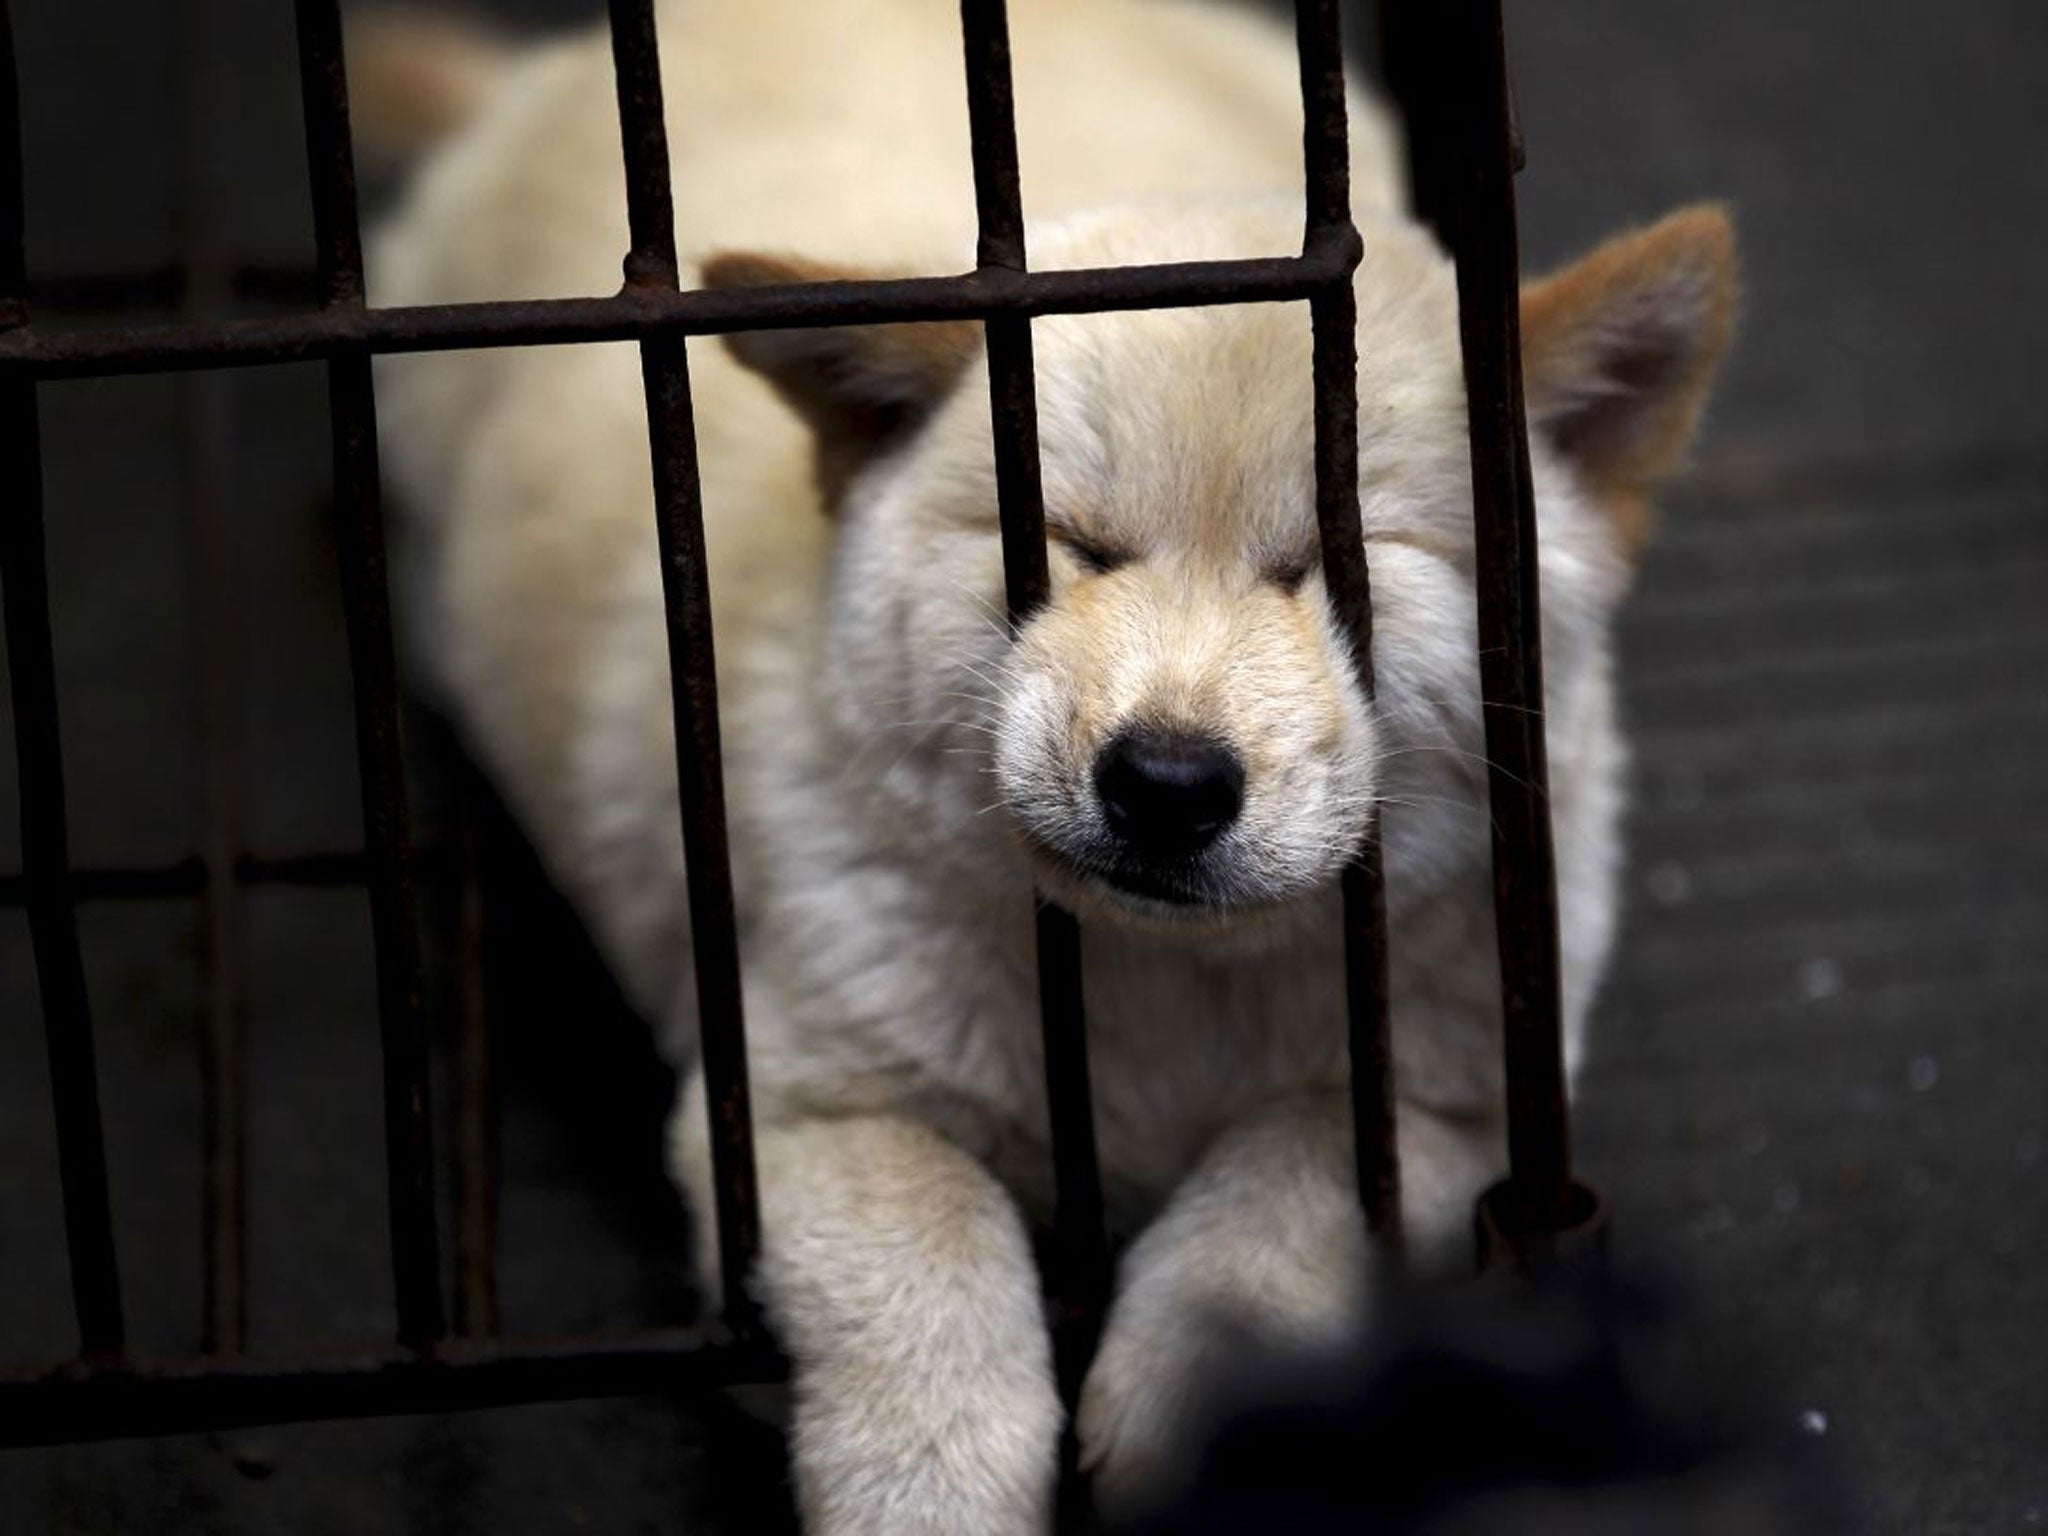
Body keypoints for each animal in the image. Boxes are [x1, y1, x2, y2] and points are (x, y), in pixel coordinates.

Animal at [360, 3, 1736, 1536]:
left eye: (1338, 568)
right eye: (1065, 546)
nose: (1167, 782)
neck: (1158, 999)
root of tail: (545, 77)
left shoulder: (1460, 1101)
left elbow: (1291, 1192)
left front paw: (1199, 1397)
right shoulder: (798, 1112)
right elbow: (930, 1262)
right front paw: (930, 1479)